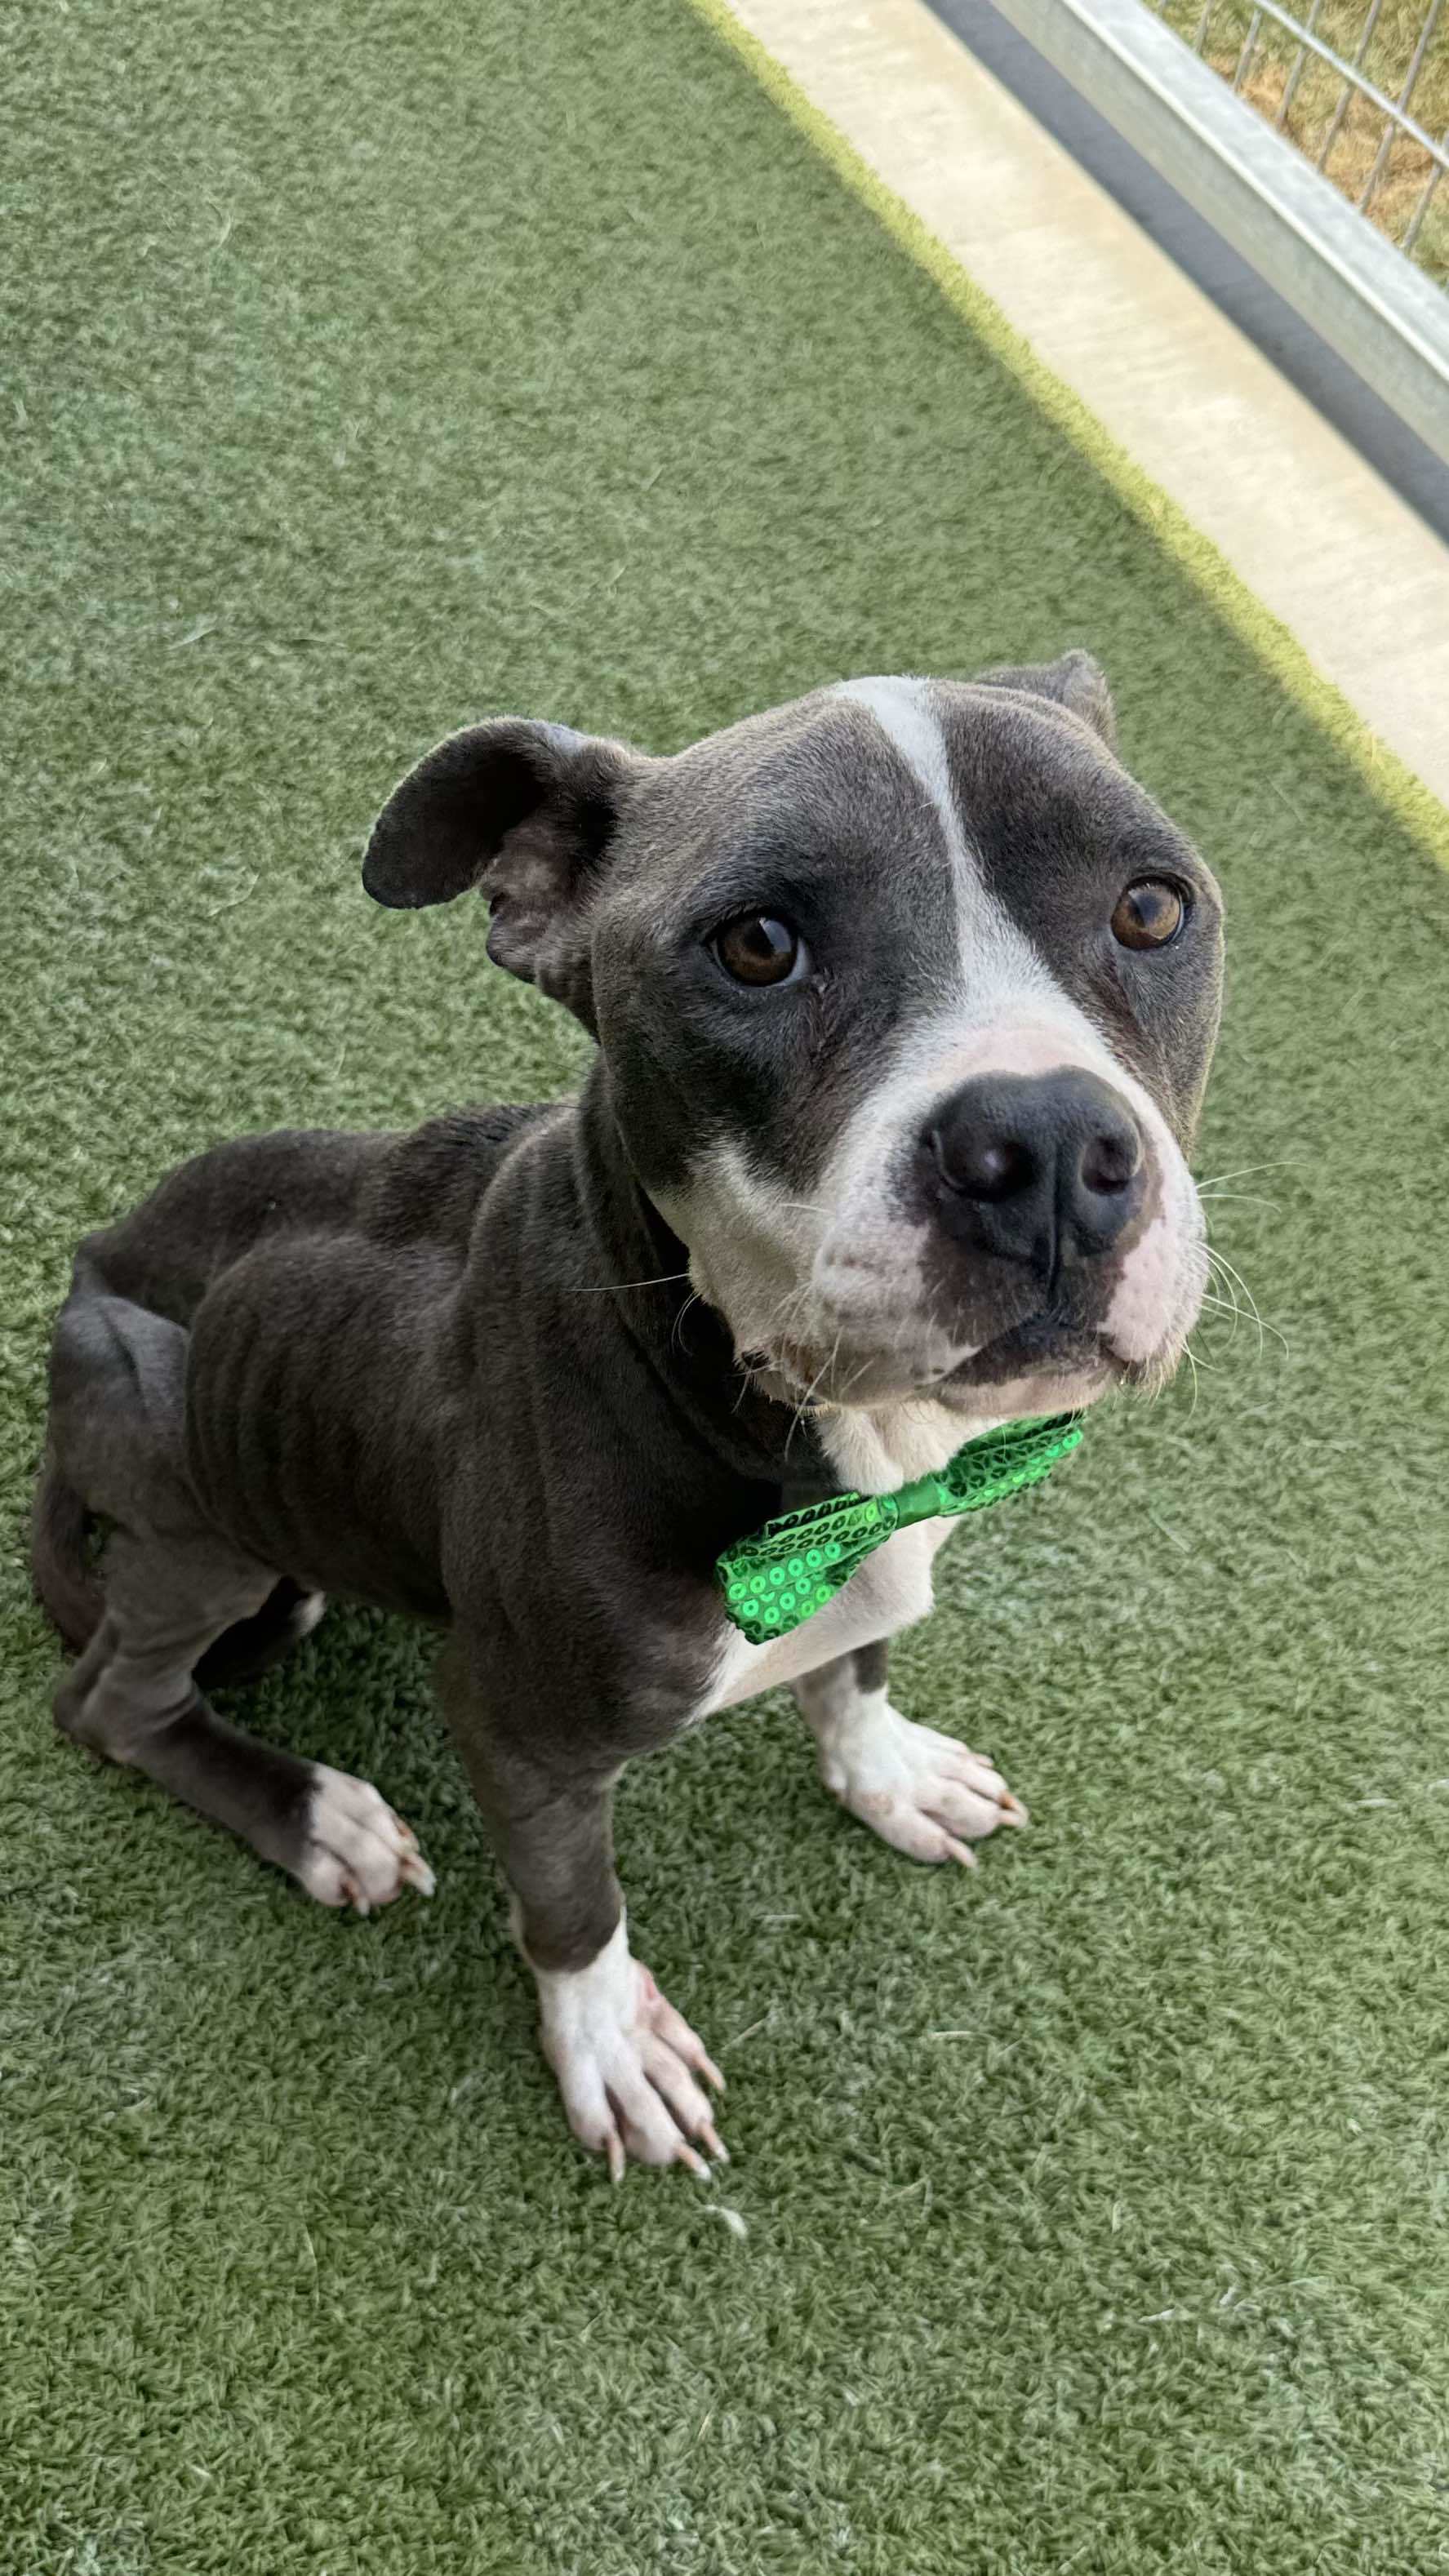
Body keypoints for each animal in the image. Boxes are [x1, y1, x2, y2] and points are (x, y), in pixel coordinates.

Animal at [33, 659, 1216, 2174]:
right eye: (757, 944)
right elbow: (574, 1900)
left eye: (1151, 908)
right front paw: (607, 2038)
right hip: (200, 1499)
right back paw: (315, 1818)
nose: (1050, 1146)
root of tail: (84, 1265)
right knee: (110, 1701)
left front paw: (887, 1769)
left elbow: (855, 1667)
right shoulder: (515, 1725)